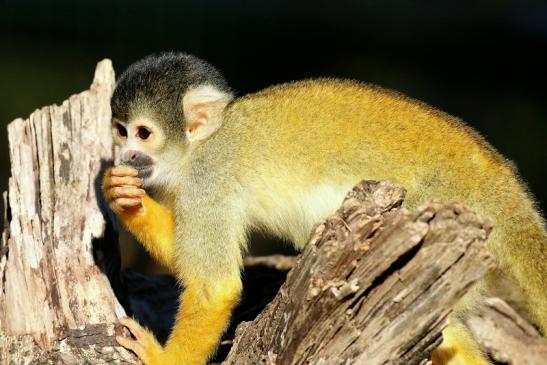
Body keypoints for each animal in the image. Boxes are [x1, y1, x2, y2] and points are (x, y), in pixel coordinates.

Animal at [104, 52, 547, 362]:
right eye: (120, 131)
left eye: (144, 133)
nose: (125, 155)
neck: (199, 147)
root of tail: (497, 180)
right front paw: (124, 199)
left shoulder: (207, 178)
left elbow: (215, 287)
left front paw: (160, 360)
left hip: (437, 201)